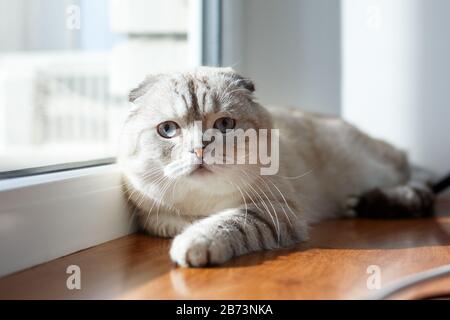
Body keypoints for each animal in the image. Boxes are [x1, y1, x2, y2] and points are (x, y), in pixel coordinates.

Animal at [118, 67, 434, 268]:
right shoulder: (157, 218)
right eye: (168, 130)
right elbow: (185, 222)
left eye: (224, 124)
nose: (199, 148)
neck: (203, 203)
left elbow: (226, 222)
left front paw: (195, 244)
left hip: (373, 167)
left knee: (416, 181)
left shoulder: (275, 210)